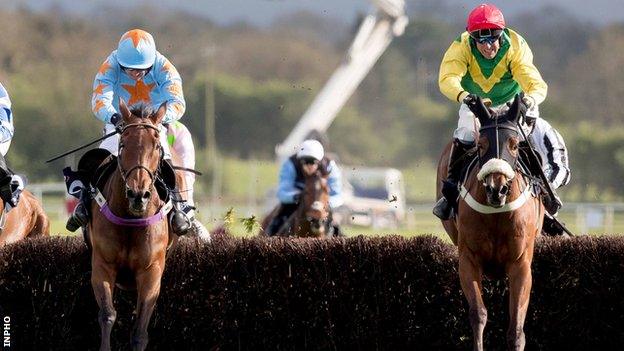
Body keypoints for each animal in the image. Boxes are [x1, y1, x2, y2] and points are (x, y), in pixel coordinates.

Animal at [88, 99, 176, 351]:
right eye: (123, 144)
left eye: (156, 146)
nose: (138, 195)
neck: (131, 219)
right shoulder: (102, 264)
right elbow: (107, 314)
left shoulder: (151, 271)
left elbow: (139, 329)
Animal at [436, 95, 544, 350]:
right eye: (481, 144)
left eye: (514, 144)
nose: (497, 188)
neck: (497, 212)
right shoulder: (468, 259)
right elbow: (478, 313)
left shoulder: (520, 264)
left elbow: (516, 326)